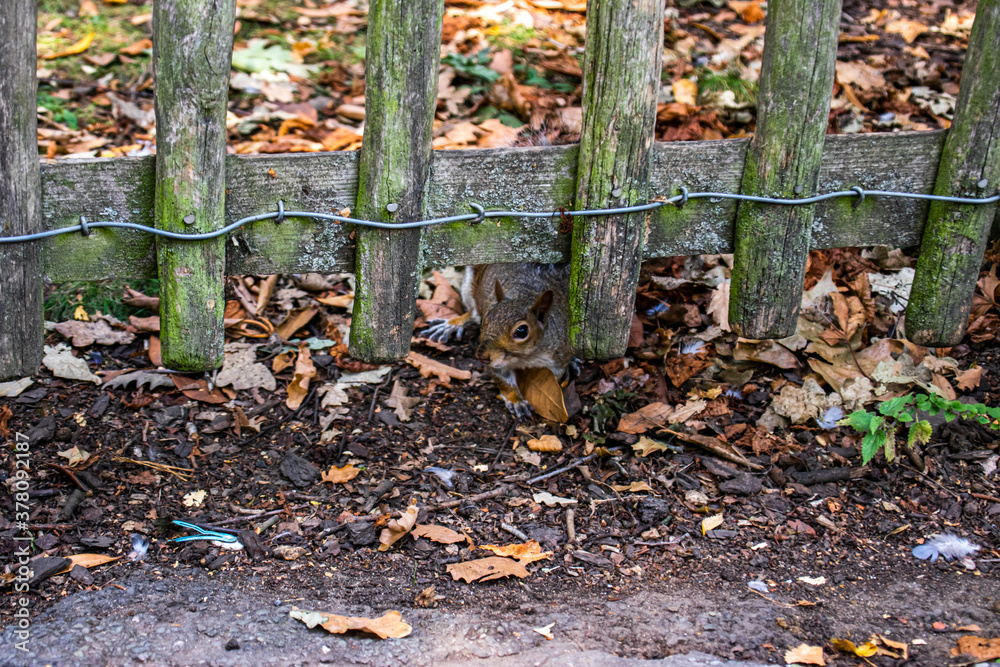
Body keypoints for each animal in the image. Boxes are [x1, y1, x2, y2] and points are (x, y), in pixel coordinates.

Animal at [422, 263, 579, 419]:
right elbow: (503, 380)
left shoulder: (559, 355)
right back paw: (452, 324)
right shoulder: (495, 363)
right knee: (472, 313)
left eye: (522, 331)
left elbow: (556, 377)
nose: (481, 357)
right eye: (486, 320)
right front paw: (516, 401)